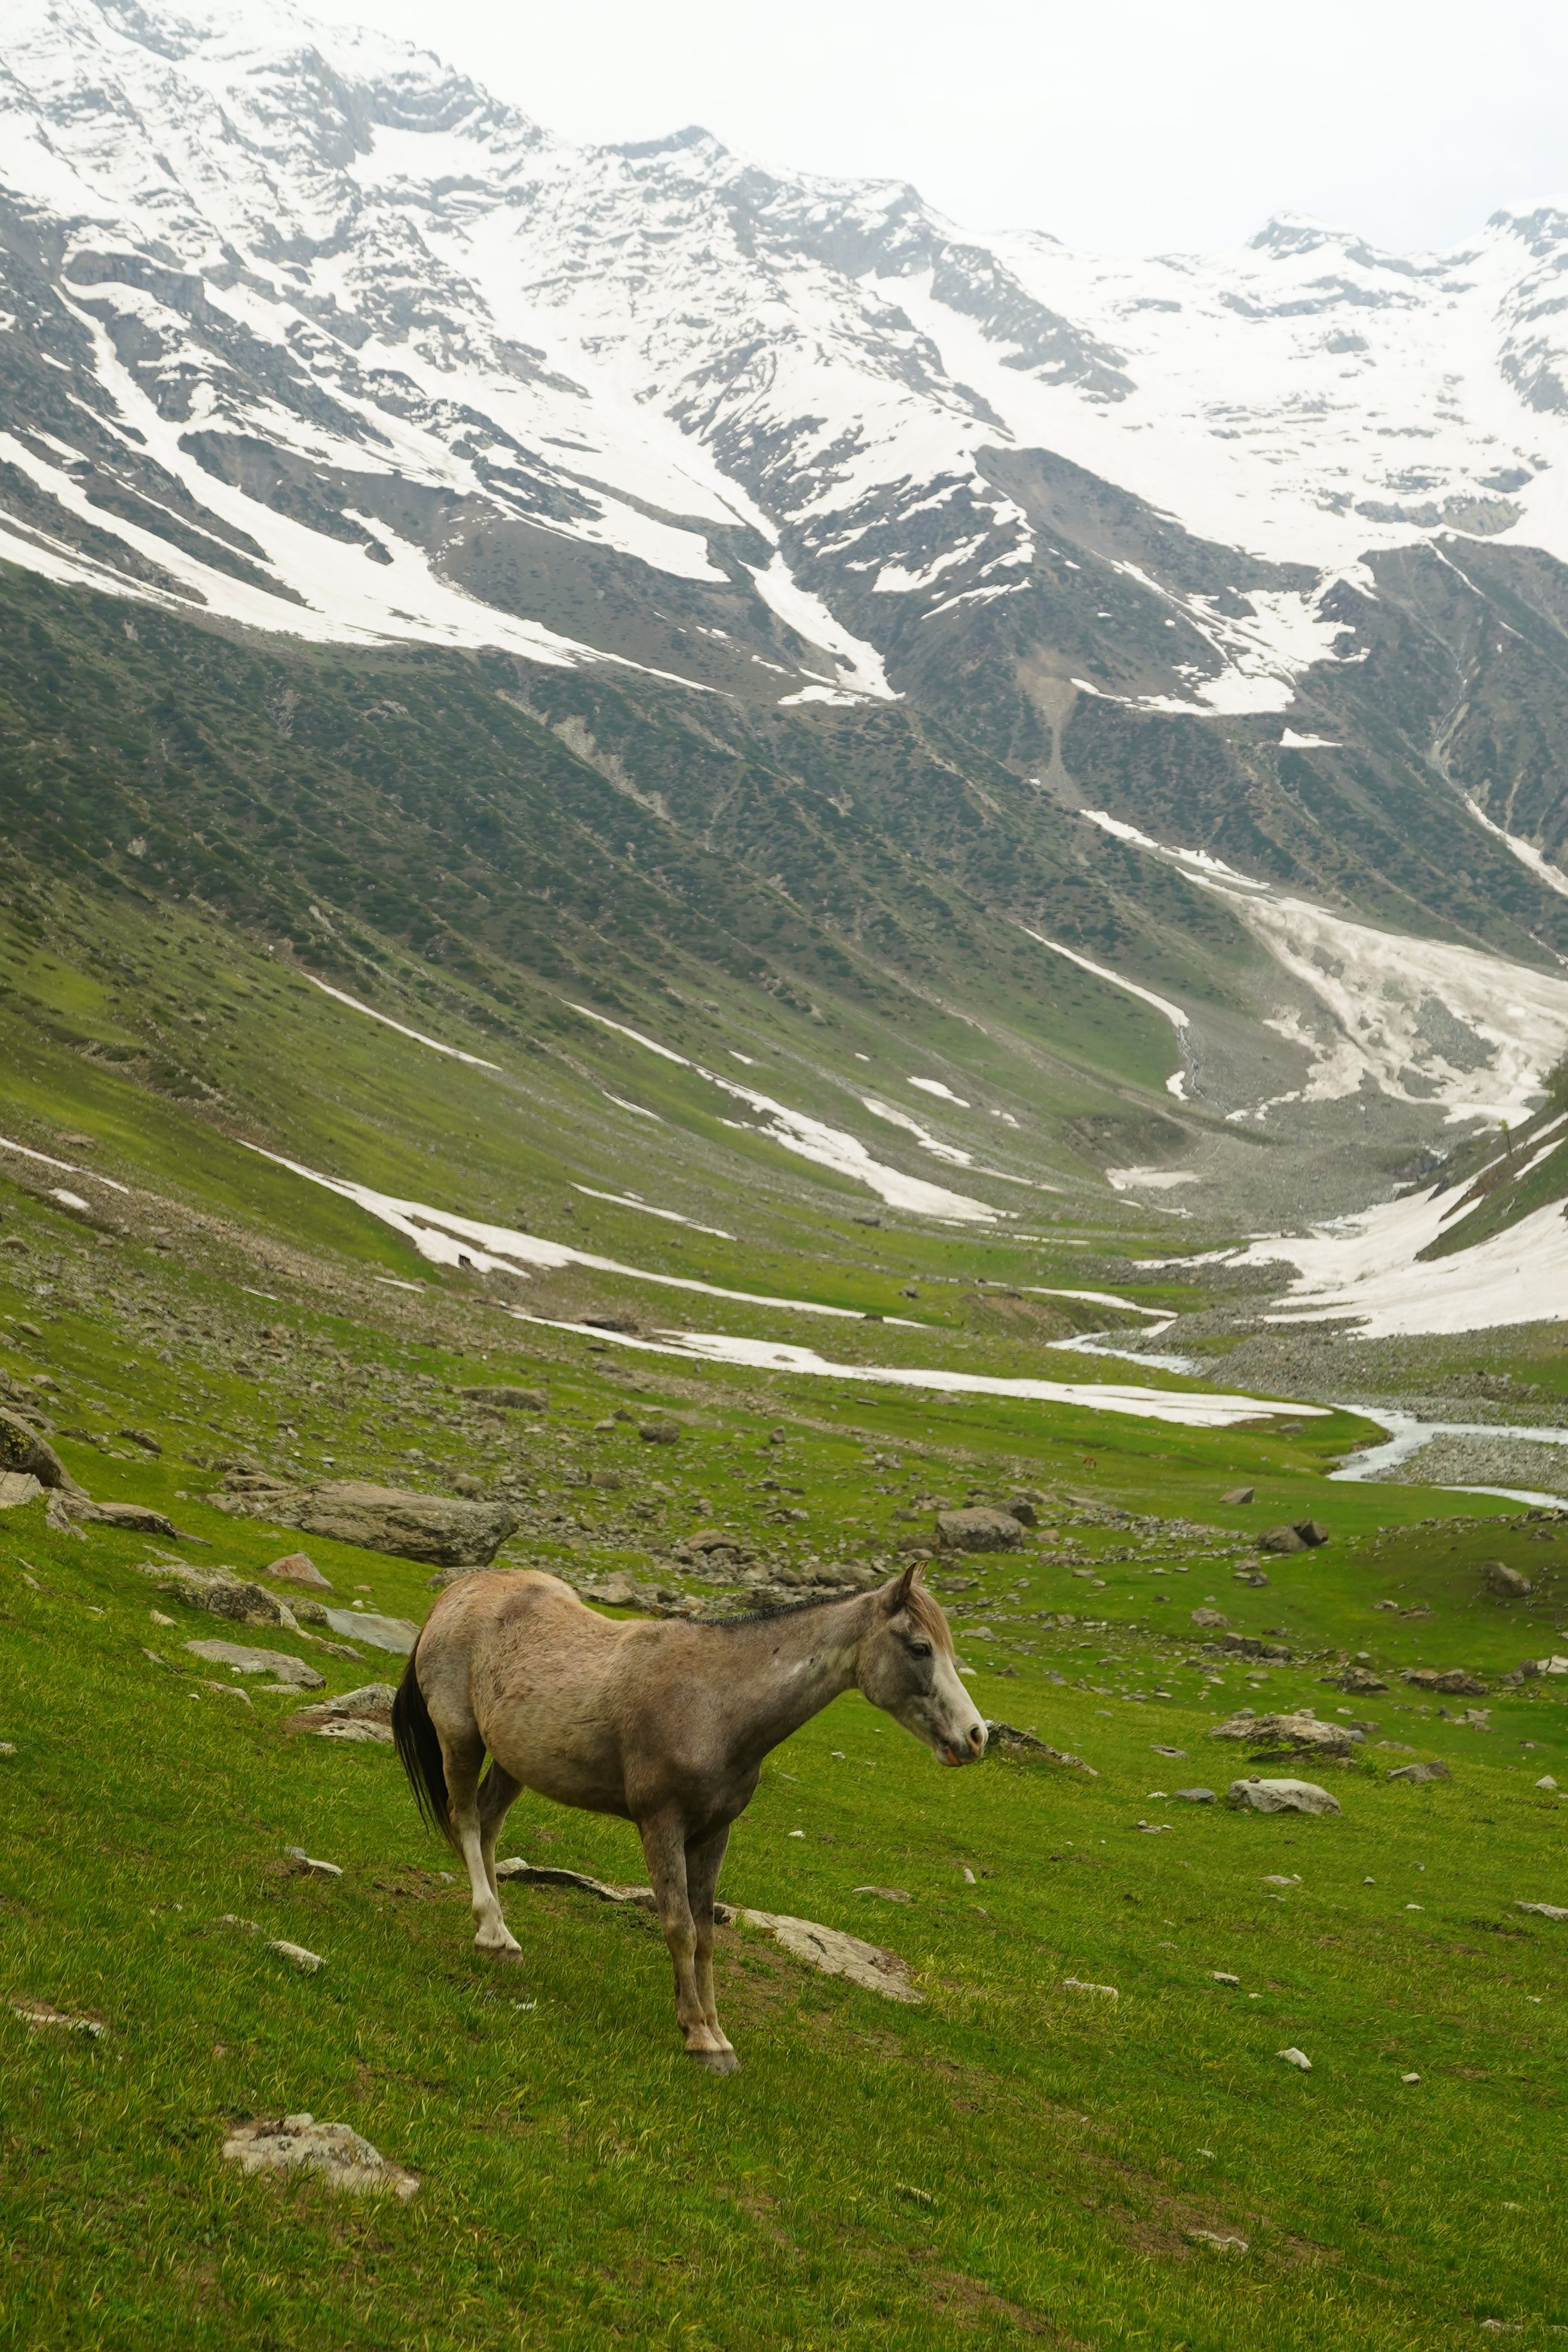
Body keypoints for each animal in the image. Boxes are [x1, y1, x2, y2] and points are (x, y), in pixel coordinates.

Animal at [391, 1560, 986, 2070]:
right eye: (919, 1647)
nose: (977, 1736)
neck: (714, 1704)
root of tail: (458, 1592)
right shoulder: (662, 1825)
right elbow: (679, 1926)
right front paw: (701, 2038)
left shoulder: (713, 1834)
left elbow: (705, 1935)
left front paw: (713, 2030)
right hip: (460, 1739)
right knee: (467, 1821)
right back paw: (491, 1930)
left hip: (513, 1761)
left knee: (489, 1825)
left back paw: (503, 1937)